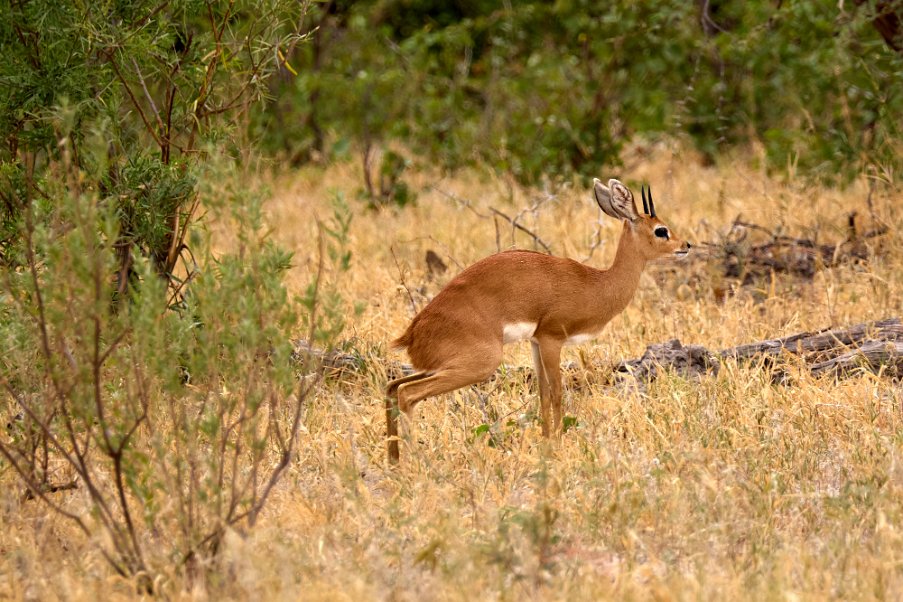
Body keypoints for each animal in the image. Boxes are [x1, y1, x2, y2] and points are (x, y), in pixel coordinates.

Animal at [384, 177, 688, 460]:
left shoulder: (535, 343)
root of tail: (413, 333)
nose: (686, 245)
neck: (596, 284)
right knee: (407, 394)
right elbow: (556, 392)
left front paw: (547, 443)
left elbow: (541, 393)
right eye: (661, 230)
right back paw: (414, 462)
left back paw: (394, 461)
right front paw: (559, 444)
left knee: (391, 387)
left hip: (437, 366)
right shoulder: (552, 339)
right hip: (477, 364)